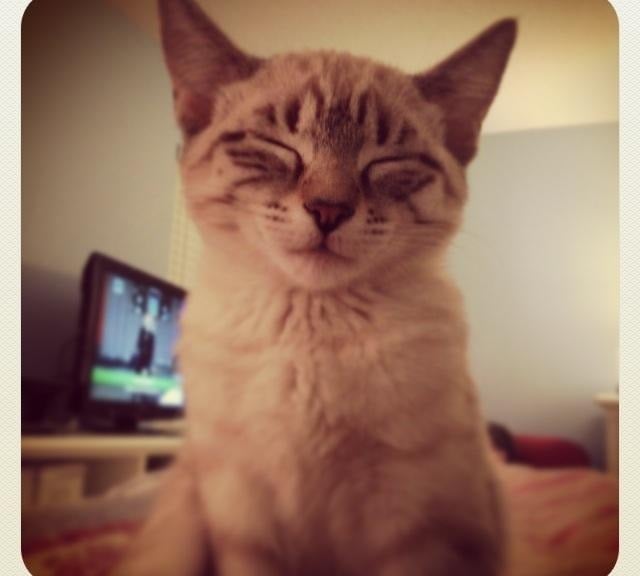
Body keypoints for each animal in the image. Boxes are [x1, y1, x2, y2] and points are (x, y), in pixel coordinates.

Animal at [113, 0, 516, 574]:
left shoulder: (417, 524)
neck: (309, 323)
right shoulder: (242, 513)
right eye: (277, 147)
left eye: (386, 162)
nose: (328, 209)